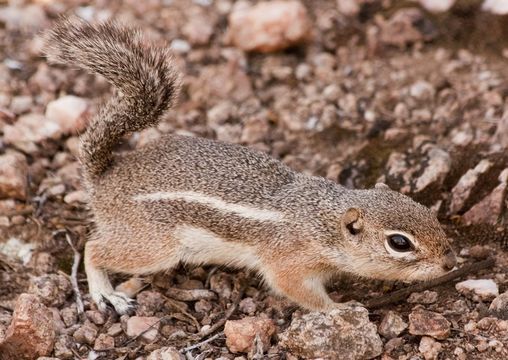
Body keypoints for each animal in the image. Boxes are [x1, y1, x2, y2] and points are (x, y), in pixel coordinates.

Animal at [43, 19, 456, 316]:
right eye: (399, 243)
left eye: (428, 213)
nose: (451, 262)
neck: (321, 220)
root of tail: (104, 177)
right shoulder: (289, 263)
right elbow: (297, 291)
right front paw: (340, 309)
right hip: (153, 247)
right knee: (93, 247)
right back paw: (106, 294)